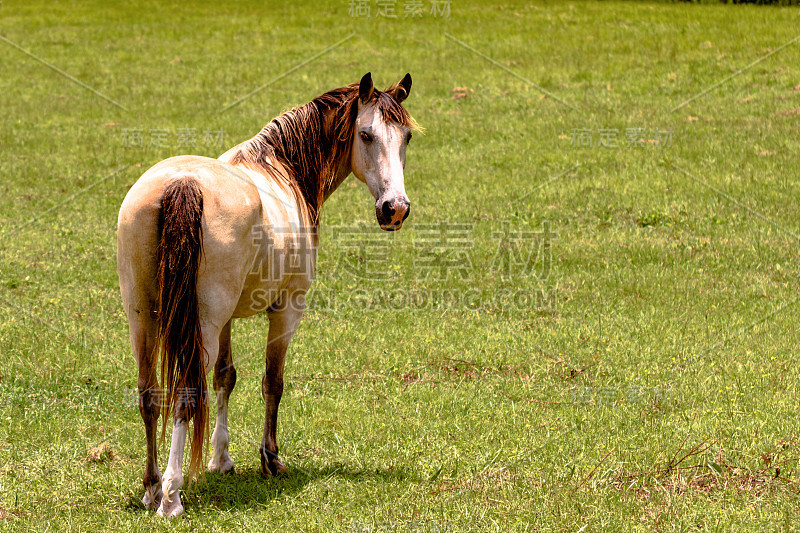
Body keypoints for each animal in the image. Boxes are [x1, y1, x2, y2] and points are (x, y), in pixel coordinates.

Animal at [119, 70, 418, 516]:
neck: (282, 170)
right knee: (186, 396)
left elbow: (225, 377)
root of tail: (182, 183)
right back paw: (171, 495)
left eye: (406, 138)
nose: (394, 209)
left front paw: (221, 459)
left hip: (143, 318)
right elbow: (272, 382)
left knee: (149, 395)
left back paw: (152, 486)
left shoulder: (226, 320)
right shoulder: (286, 311)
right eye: (366, 135)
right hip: (199, 325)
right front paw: (270, 458)